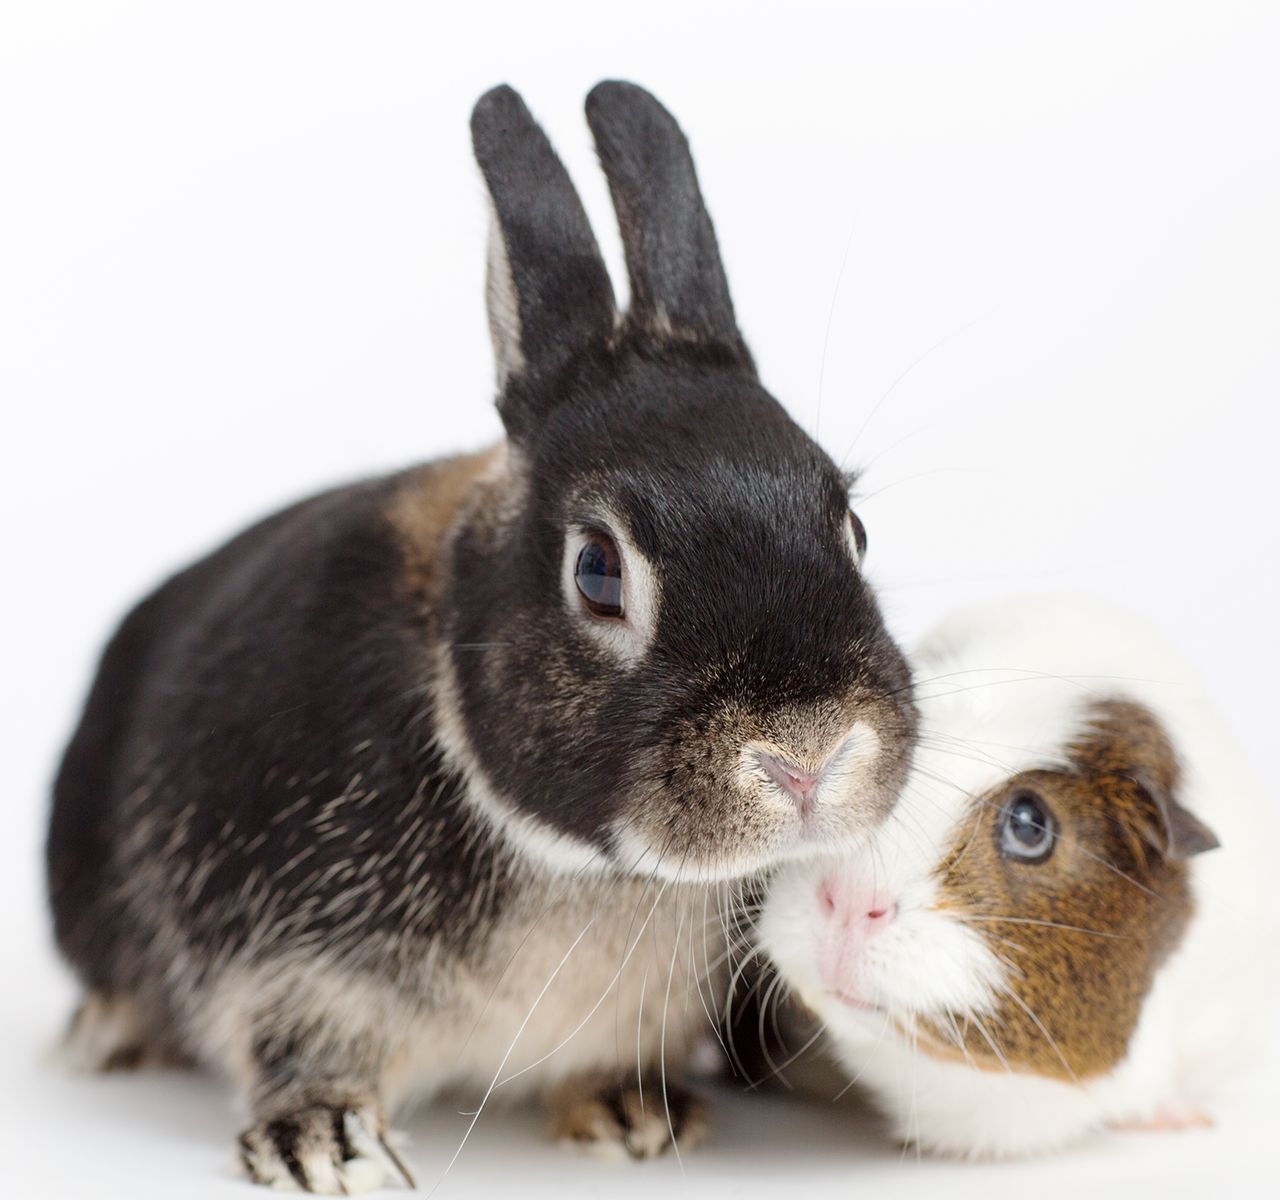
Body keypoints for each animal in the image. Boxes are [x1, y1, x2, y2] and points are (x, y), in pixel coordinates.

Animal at [42, 81, 921, 1187]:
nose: (808, 757)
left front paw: (630, 1115)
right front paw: (326, 1147)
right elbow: (297, 1046)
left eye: (851, 528)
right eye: (597, 571)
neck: (588, 865)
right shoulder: (286, 958)